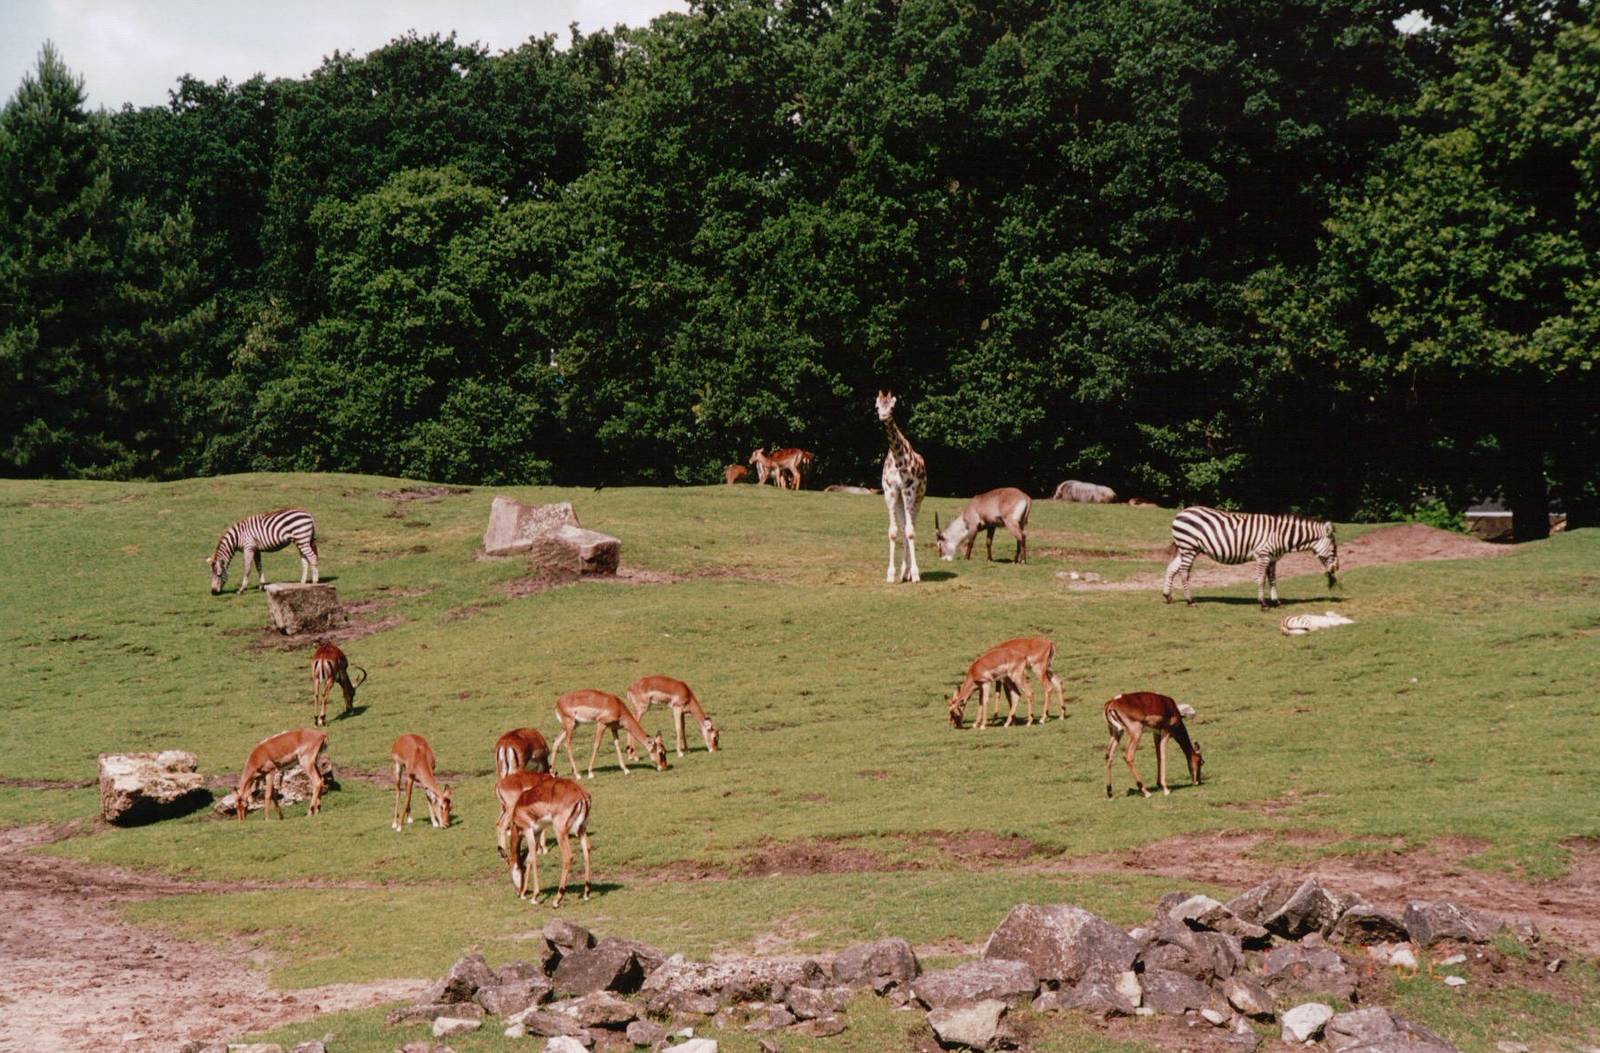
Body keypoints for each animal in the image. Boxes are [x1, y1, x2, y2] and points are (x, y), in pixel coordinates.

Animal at [504, 776, 593, 907]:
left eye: (510, 872)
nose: (517, 892)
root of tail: (581, 794)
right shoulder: (537, 832)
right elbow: (529, 859)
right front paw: (525, 893)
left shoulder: (528, 830)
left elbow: (533, 859)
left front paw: (534, 897)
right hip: (582, 828)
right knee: (587, 850)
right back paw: (586, 893)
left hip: (560, 830)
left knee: (568, 857)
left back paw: (557, 900)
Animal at [1162, 506, 1339, 608]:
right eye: (1334, 548)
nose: (1336, 568)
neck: (1280, 535)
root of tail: (1182, 512)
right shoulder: (1263, 555)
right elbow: (1260, 579)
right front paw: (1263, 603)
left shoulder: (1272, 559)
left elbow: (1272, 579)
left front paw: (1276, 602)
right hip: (1189, 547)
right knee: (1184, 572)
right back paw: (1190, 601)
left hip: (1186, 548)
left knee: (1172, 568)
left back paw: (1167, 596)